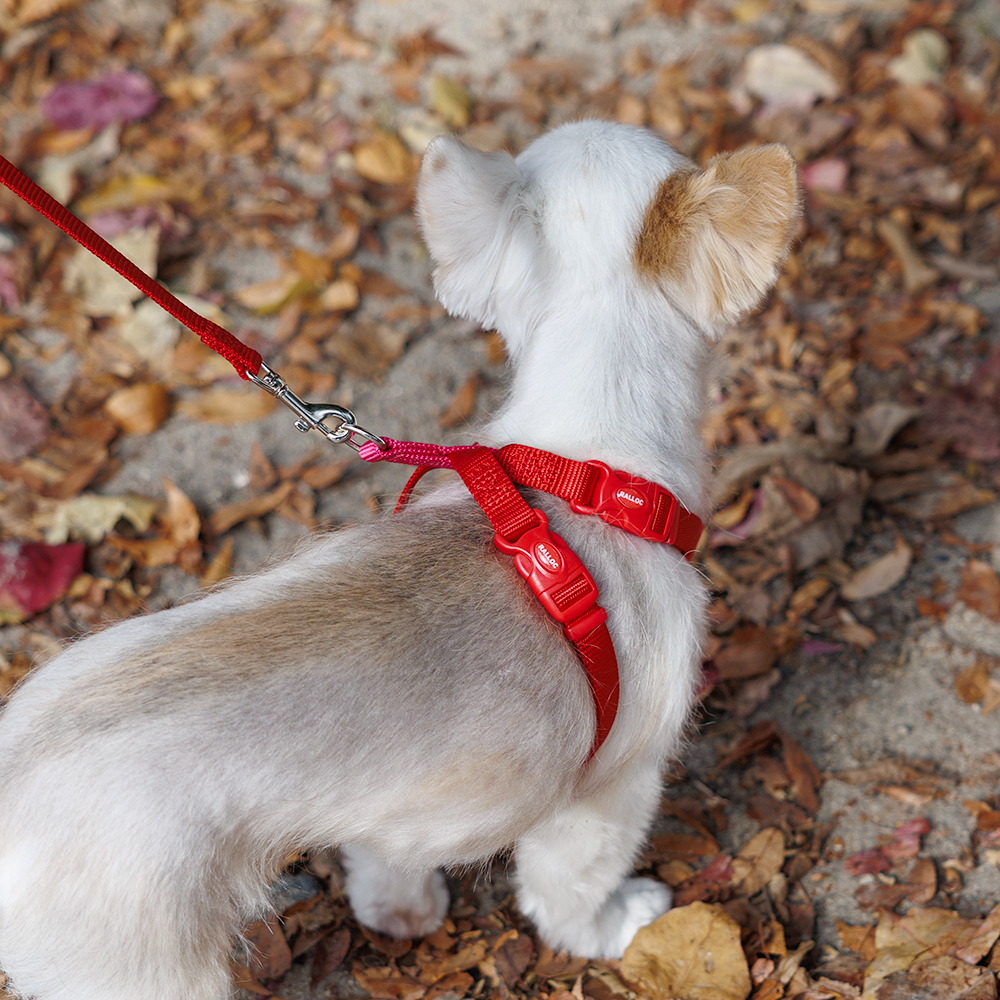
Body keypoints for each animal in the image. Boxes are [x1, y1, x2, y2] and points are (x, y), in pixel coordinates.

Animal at [0, 123, 796, 1000]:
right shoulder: (611, 787)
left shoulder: (404, 805)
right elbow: (571, 890)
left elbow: (387, 856)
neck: (582, 471)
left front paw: (399, 909)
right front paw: (614, 927)